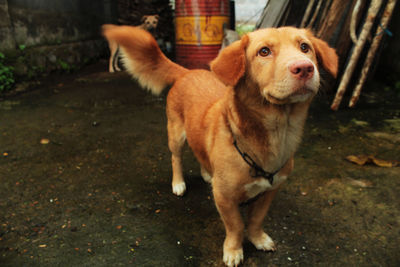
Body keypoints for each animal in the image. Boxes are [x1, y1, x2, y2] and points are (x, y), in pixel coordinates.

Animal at [102, 24, 338, 266]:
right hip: (176, 135)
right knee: (176, 158)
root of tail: (187, 72)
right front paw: (234, 250)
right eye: (264, 52)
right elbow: (236, 226)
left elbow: (255, 220)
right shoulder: (224, 197)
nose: (305, 68)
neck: (276, 134)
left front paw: (258, 238)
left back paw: (207, 173)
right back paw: (178, 183)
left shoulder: (270, 190)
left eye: (305, 47)